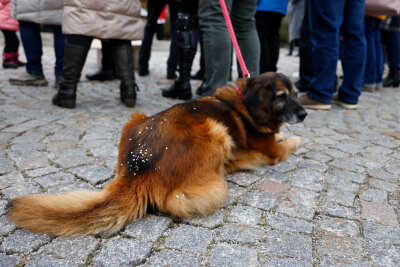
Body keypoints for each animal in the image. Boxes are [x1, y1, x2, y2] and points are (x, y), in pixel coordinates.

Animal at [7, 71, 306, 237]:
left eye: (297, 93)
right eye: (282, 96)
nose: (304, 114)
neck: (244, 102)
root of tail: (140, 165)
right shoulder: (273, 151)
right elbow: (291, 141)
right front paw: (295, 137)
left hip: (134, 118)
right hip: (218, 132)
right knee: (176, 201)